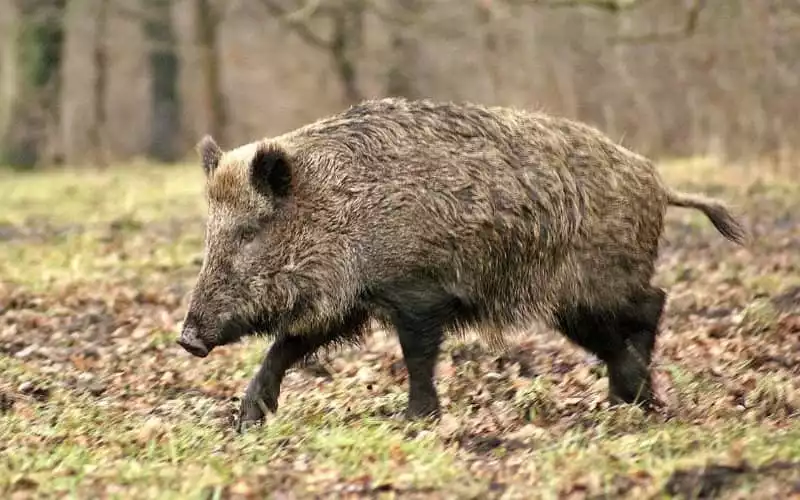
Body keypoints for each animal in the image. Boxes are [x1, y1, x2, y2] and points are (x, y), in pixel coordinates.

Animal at [176, 97, 746, 431]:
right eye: (210, 232)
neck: (343, 206)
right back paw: (625, 401)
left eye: (250, 231)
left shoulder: (418, 291)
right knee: (628, 325)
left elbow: (417, 355)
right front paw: (246, 421)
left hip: (594, 286)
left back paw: (639, 400)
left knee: (651, 305)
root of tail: (658, 182)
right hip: (580, 299)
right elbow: (287, 345)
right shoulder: (345, 301)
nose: (188, 338)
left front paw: (415, 421)